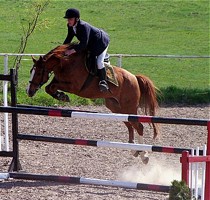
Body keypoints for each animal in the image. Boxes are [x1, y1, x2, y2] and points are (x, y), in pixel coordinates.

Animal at [25, 44, 159, 164]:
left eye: (38, 73)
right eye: (31, 71)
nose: (28, 91)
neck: (65, 63)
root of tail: (134, 77)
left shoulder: (75, 86)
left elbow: (52, 86)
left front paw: (63, 96)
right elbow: (49, 87)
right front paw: (61, 96)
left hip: (128, 107)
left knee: (138, 126)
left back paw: (144, 155)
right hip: (116, 108)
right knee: (130, 125)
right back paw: (134, 149)